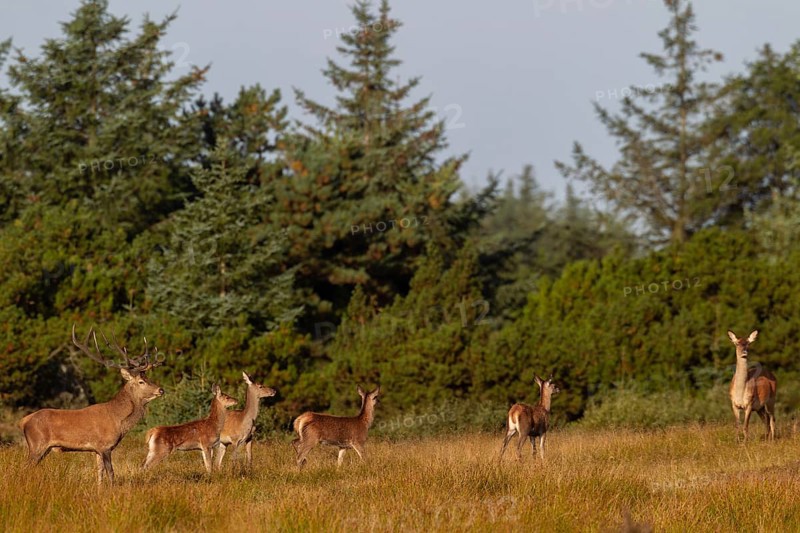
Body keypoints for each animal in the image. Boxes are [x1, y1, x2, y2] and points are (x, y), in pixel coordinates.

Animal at [18, 324, 165, 485]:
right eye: (141, 381)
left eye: (149, 378)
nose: (161, 390)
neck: (118, 420)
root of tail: (23, 421)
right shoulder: (105, 446)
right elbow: (111, 473)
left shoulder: (97, 450)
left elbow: (99, 472)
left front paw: (99, 488)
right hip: (37, 444)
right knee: (24, 468)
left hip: (44, 448)